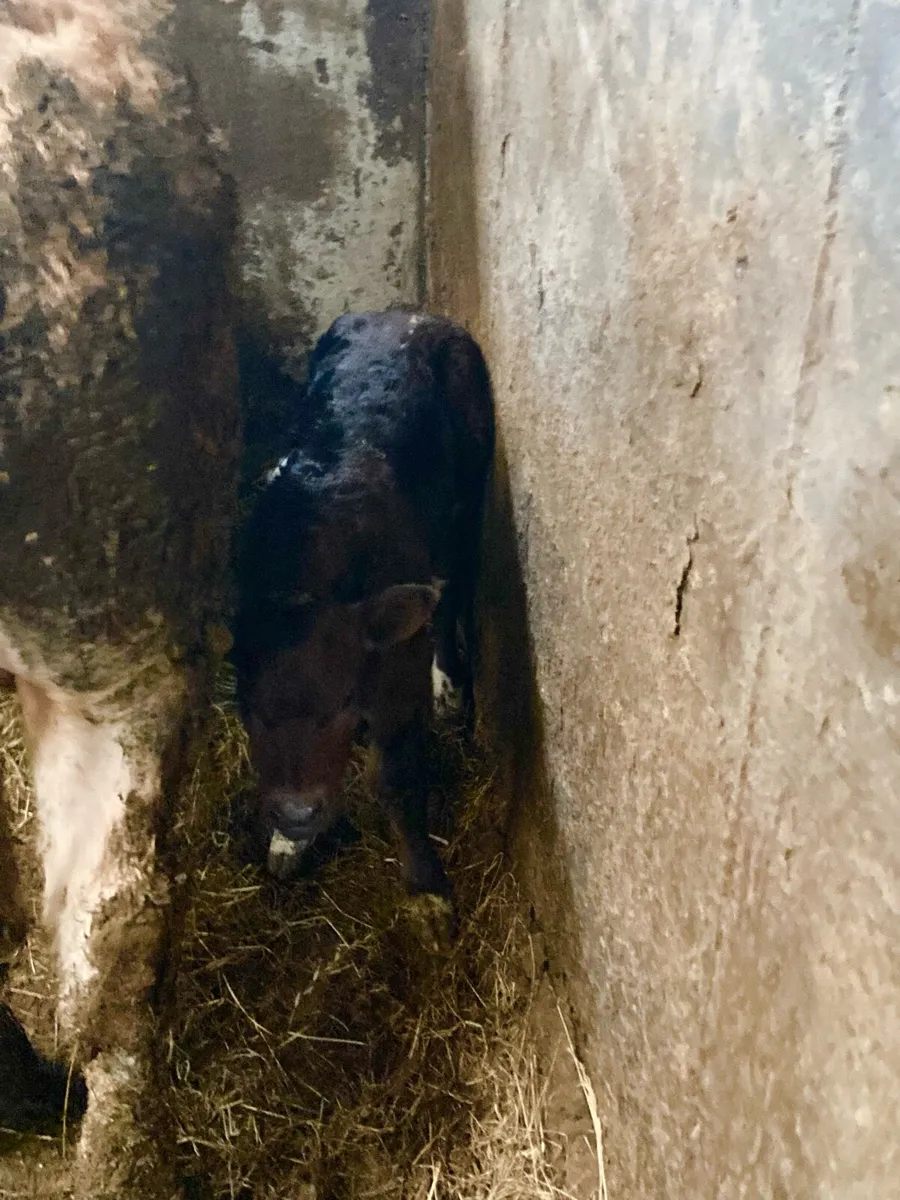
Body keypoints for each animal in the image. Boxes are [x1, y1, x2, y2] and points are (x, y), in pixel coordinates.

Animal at [231, 311, 494, 938]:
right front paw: (287, 845)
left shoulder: (395, 677)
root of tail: (406, 315)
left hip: (467, 497)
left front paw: (426, 891)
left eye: (344, 704)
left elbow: (395, 782)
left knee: (452, 587)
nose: (298, 812)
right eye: (249, 710)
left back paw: (451, 685)